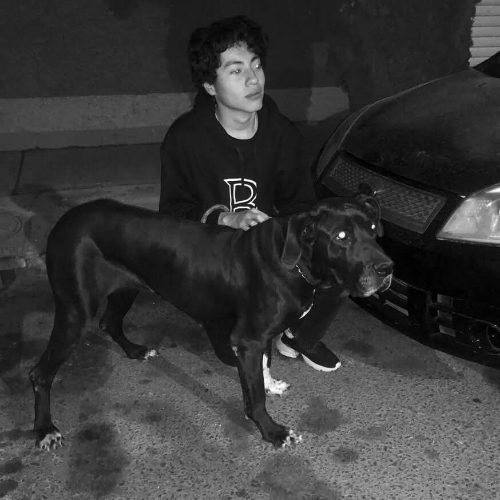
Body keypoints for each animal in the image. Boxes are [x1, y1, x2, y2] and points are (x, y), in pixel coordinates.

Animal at [29, 195, 393, 450]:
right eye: (341, 237)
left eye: (374, 230)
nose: (387, 269)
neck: (294, 261)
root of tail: (65, 220)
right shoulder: (249, 339)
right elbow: (254, 398)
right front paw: (272, 431)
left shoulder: (258, 338)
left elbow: (265, 365)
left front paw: (271, 384)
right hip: (75, 312)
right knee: (40, 373)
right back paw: (45, 430)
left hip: (126, 287)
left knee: (109, 322)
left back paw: (135, 351)